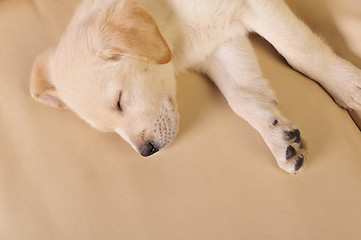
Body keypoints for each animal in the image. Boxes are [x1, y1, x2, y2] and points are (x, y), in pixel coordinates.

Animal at [30, 0, 360, 173]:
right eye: (109, 130)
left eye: (119, 101)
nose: (146, 152)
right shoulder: (219, 45)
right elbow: (242, 96)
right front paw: (277, 136)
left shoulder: (256, 8)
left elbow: (298, 52)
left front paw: (348, 86)